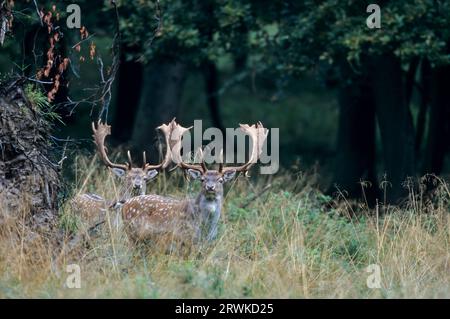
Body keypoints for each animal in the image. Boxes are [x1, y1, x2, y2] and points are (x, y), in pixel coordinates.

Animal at [118, 120, 268, 245]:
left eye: (220, 180)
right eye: (202, 179)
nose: (210, 187)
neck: (205, 229)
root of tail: (126, 203)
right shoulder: (180, 240)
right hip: (132, 233)